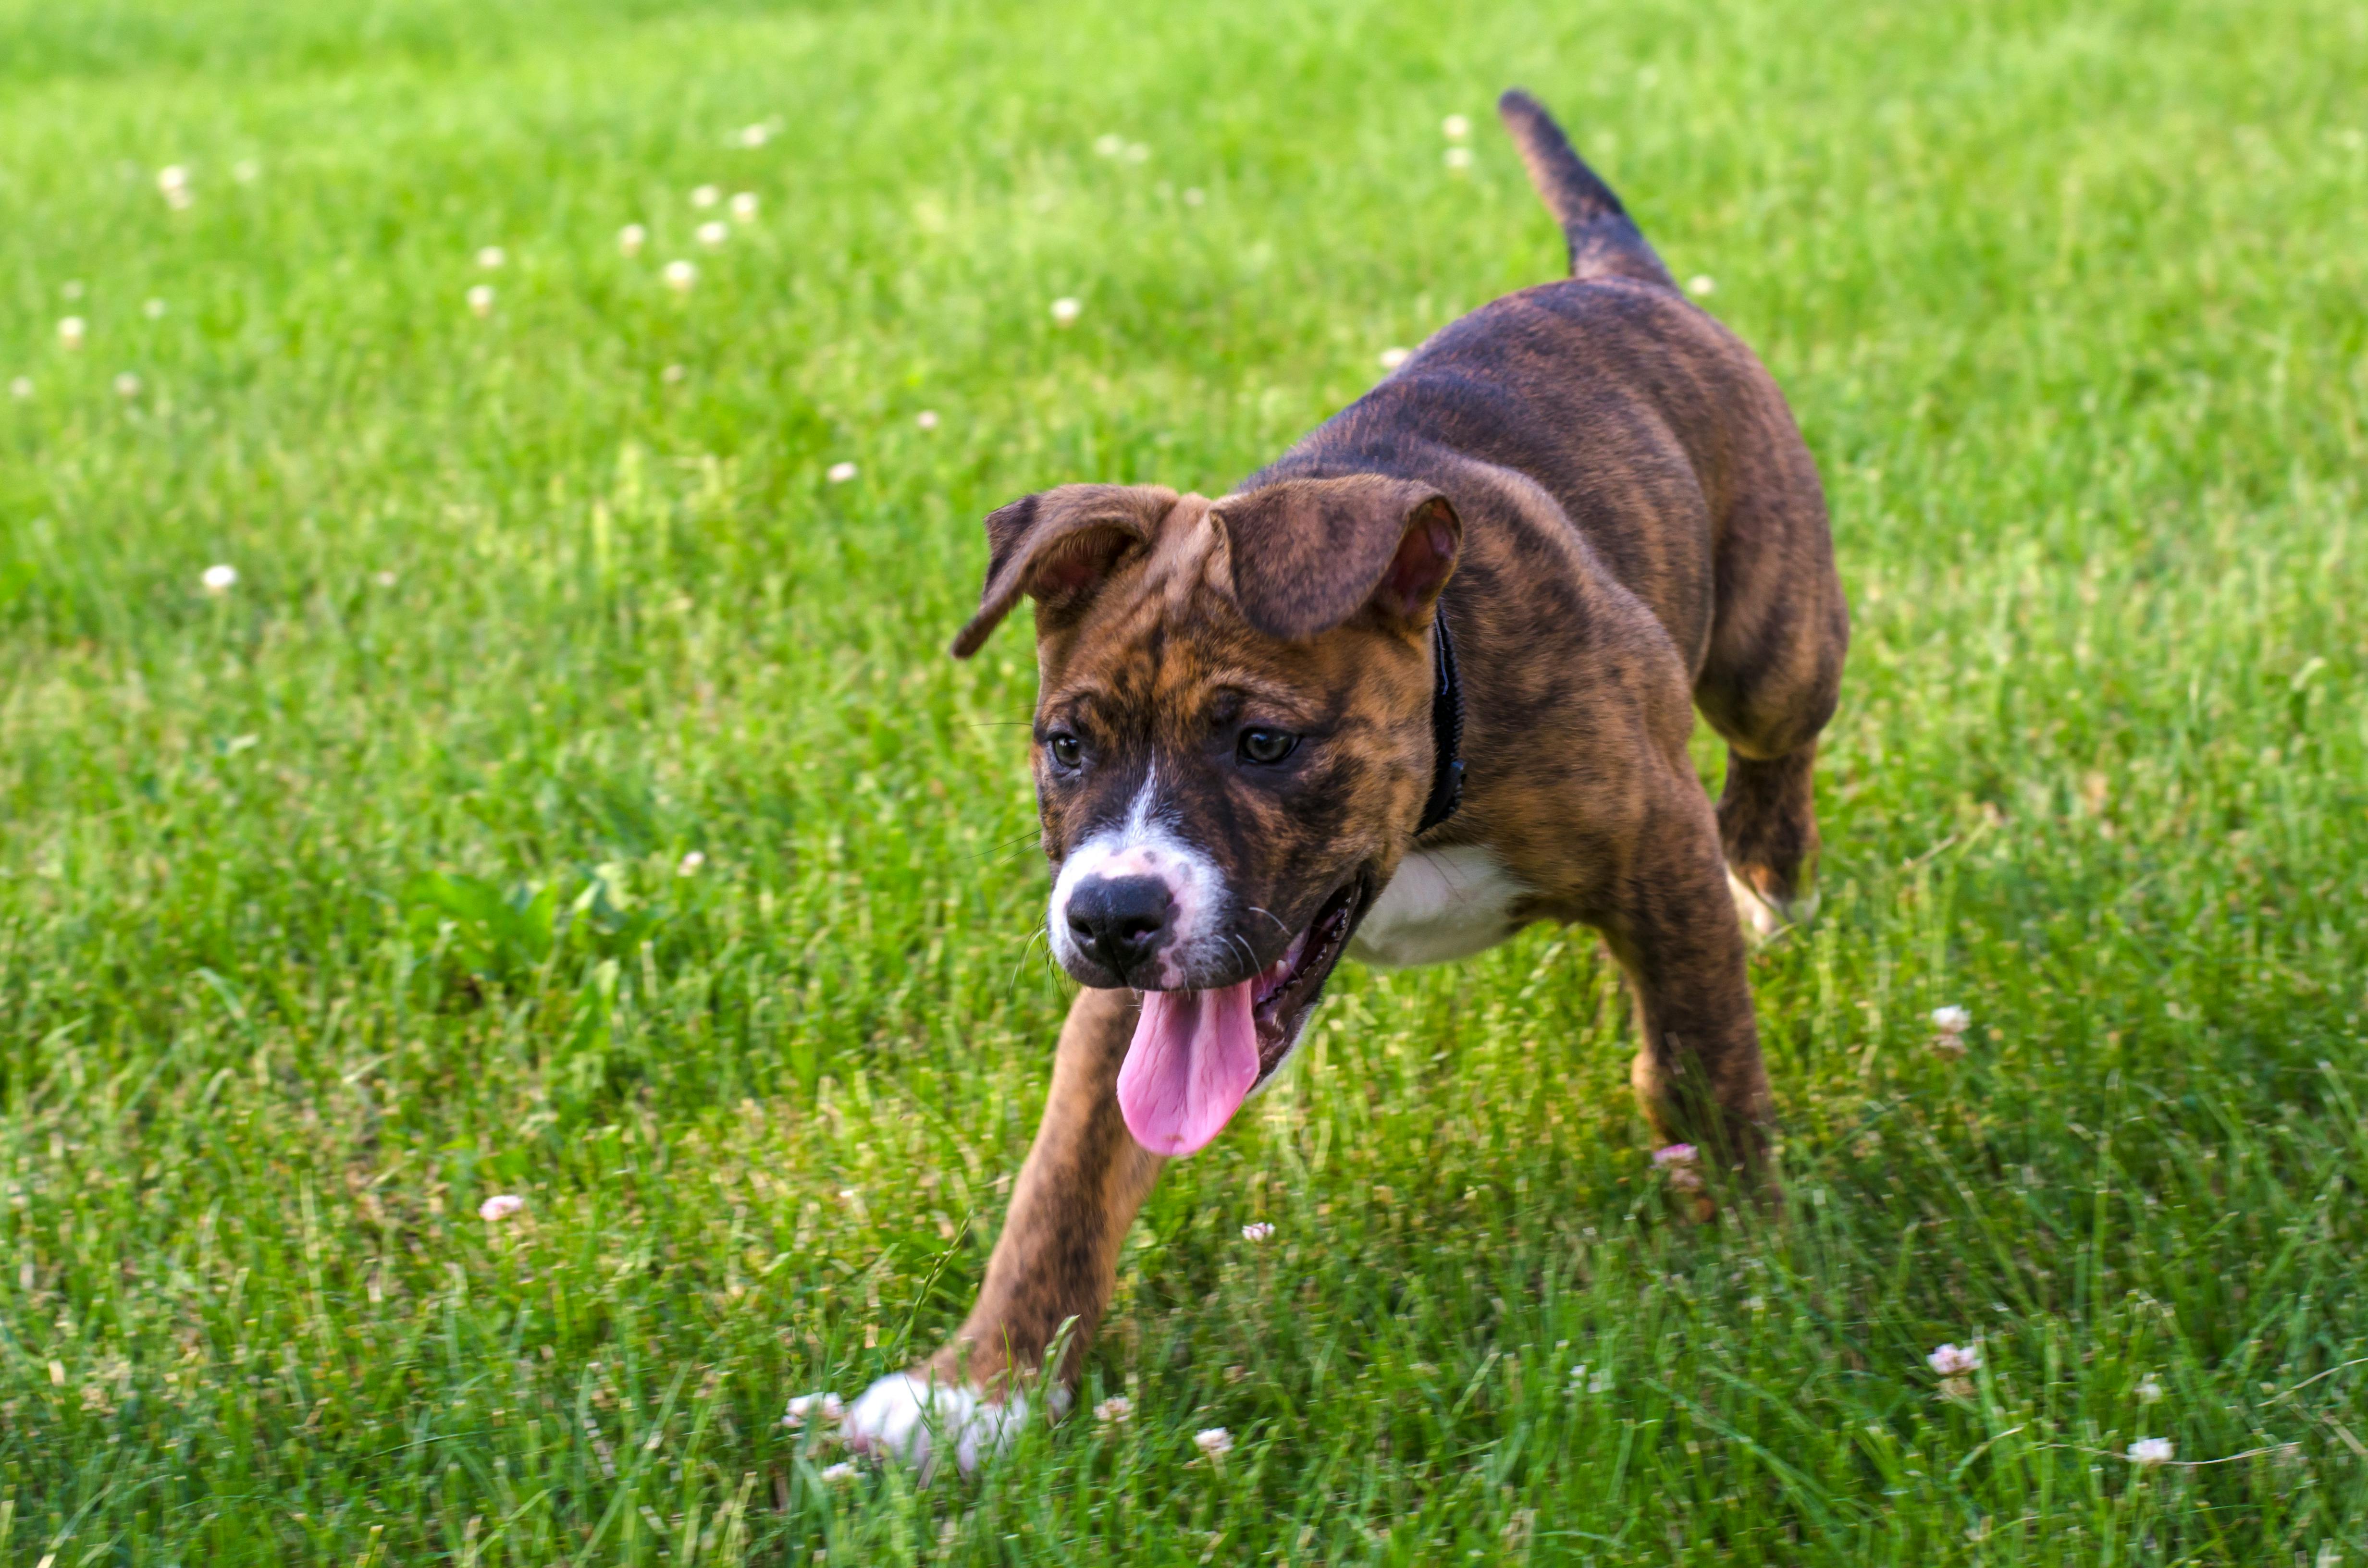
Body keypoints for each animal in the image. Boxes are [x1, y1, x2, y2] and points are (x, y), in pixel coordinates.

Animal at [838, 92, 1847, 1478]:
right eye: (1066, 746)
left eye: (1264, 745)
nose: (1110, 921)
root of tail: (1620, 278)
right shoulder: (1131, 991)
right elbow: (1067, 1174)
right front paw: (979, 1391)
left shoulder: (1654, 852)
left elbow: (1702, 1060)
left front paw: (1750, 1263)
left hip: (1772, 646)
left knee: (1772, 753)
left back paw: (1770, 888)